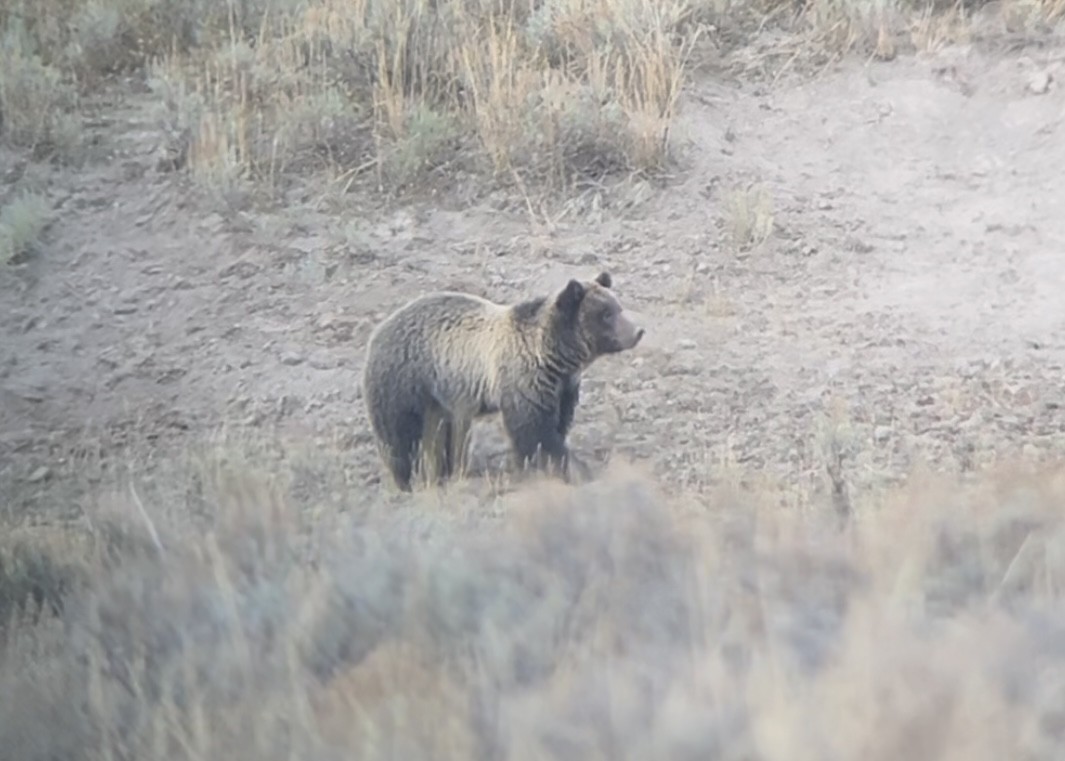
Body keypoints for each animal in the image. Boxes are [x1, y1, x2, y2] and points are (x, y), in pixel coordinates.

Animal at [361, 271, 644, 492]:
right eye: (606, 314)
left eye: (617, 306)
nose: (637, 331)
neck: (555, 357)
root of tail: (378, 331)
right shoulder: (524, 381)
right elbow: (534, 431)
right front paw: (571, 468)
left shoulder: (563, 389)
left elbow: (557, 425)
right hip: (405, 382)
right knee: (401, 435)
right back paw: (408, 478)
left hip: (440, 396)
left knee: (444, 433)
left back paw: (445, 470)